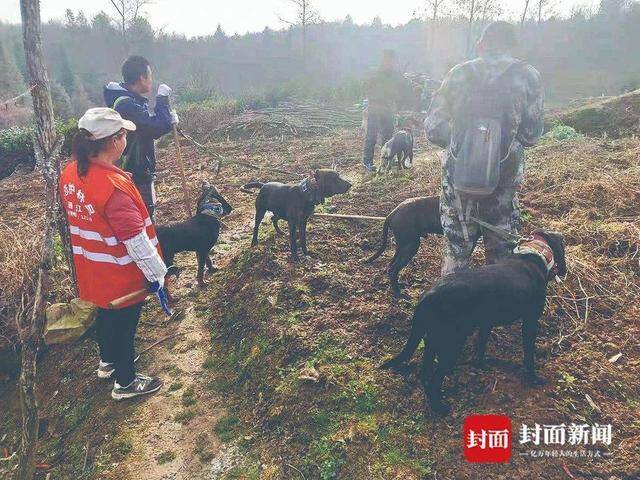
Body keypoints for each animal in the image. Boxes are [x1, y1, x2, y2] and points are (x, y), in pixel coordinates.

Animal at [380, 230, 564, 416]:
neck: (532, 255)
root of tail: (428, 295)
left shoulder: (486, 322)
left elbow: (481, 344)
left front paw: (479, 365)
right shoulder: (530, 322)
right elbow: (529, 355)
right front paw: (534, 378)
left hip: (435, 338)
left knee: (426, 372)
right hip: (451, 343)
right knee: (434, 381)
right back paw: (441, 408)